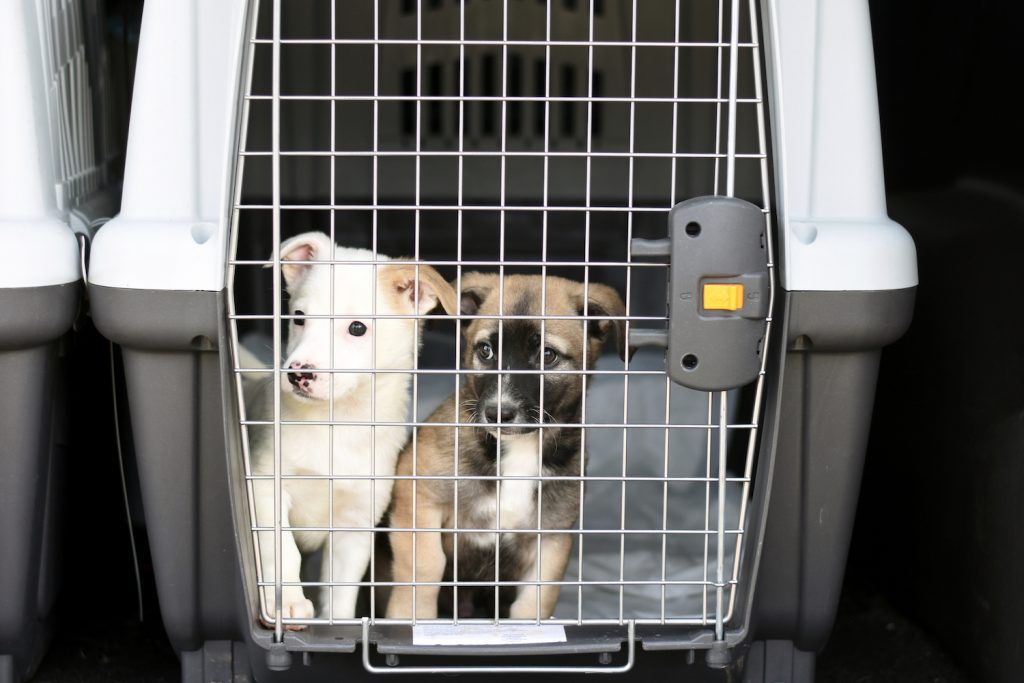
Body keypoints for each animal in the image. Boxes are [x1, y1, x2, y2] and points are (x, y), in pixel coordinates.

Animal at [243, 232, 456, 626]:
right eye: (298, 318)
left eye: (357, 328)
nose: (297, 374)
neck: (338, 422)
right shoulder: (266, 489)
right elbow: (283, 550)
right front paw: (288, 603)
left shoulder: (355, 524)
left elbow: (341, 588)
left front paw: (338, 621)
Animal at [385, 272, 622, 618]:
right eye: (486, 351)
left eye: (547, 355)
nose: (497, 412)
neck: (519, 449)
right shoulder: (418, 496)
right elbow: (425, 566)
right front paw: (409, 617)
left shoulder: (552, 536)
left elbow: (536, 601)